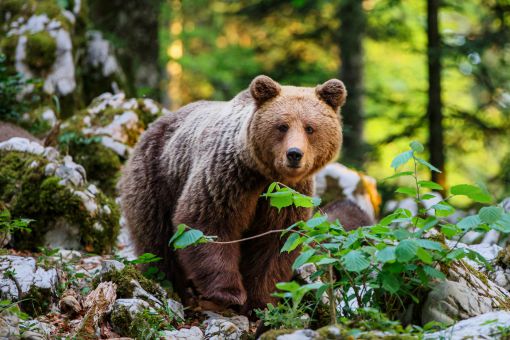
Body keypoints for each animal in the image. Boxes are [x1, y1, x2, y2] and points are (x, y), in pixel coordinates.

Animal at [119, 74, 346, 314]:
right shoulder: (229, 177)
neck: (265, 174)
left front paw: (260, 301)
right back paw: (171, 284)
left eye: (310, 128)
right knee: (156, 239)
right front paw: (229, 293)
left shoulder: (286, 196)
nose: (294, 154)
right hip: (157, 176)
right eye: (282, 126)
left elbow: (275, 242)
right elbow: (209, 223)